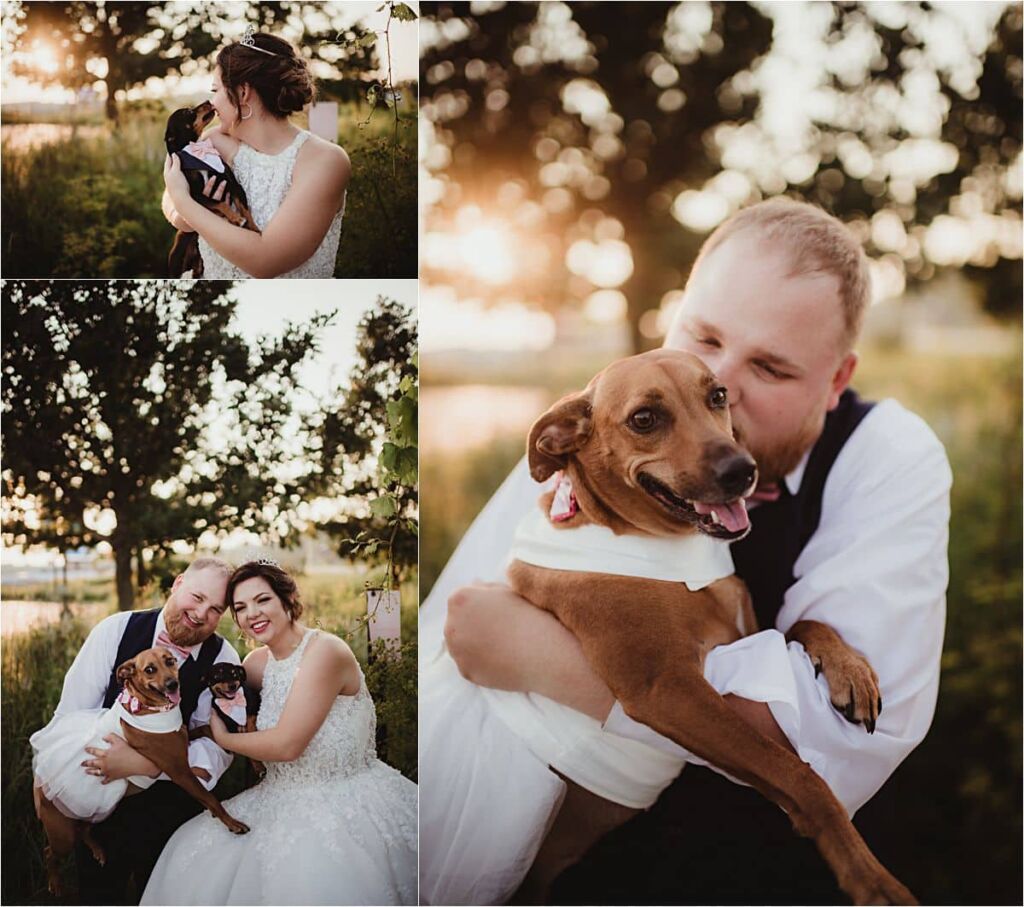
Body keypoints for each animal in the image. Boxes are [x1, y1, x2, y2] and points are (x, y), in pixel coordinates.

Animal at [34, 651, 247, 896]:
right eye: (149, 670)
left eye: (170, 661)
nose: (172, 684)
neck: (147, 709)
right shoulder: (180, 770)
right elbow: (209, 797)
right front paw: (232, 823)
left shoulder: (184, 738)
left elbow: (205, 729)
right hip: (63, 834)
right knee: (50, 852)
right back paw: (55, 884)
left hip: (101, 809)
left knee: (85, 830)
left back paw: (98, 851)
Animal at [163, 101, 260, 278]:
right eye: (188, 112)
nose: (208, 101)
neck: (198, 152)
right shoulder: (196, 196)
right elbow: (220, 203)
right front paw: (236, 218)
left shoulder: (233, 184)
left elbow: (244, 209)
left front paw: (254, 228)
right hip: (176, 255)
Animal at [503, 350, 913, 907]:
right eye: (644, 419)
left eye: (718, 396)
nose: (742, 471)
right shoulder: (667, 690)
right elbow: (800, 776)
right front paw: (867, 875)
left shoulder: (746, 635)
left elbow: (807, 620)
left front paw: (851, 669)